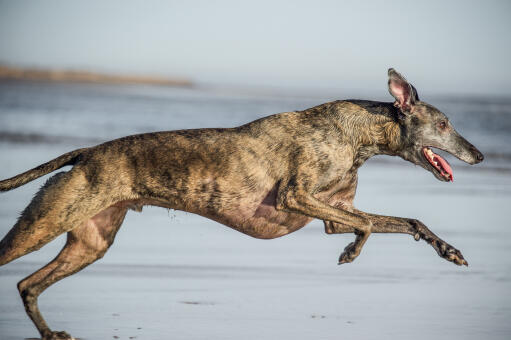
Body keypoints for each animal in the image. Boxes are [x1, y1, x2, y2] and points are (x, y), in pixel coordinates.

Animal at [0, 69, 484, 340]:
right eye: (444, 123)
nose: (479, 155)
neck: (357, 134)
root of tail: (85, 153)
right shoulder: (298, 196)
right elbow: (369, 225)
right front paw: (350, 253)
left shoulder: (333, 211)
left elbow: (406, 221)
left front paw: (449, 251)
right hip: (45, 222)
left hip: (91, 241)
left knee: (28, 285)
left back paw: (50, 333)